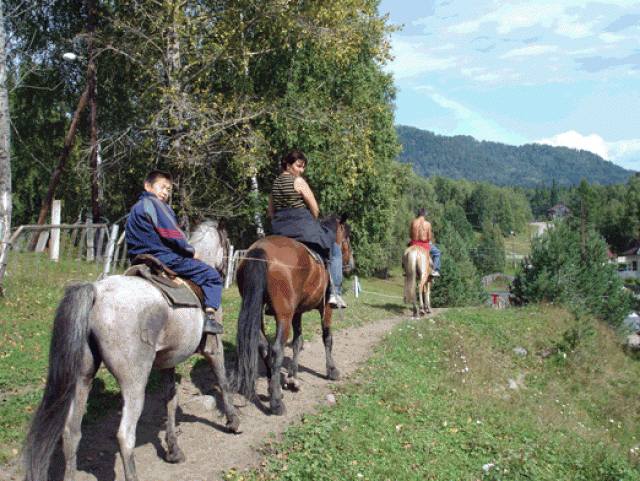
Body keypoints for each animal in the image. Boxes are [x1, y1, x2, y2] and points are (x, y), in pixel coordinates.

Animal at [22, 220, 239, 480]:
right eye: (226, 244)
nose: (226, 274)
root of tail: (96, 292)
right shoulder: (213, 349)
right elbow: (223, 382)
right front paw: (233, 421)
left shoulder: (169, 361)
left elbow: (170, 400)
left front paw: (173, 450)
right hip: (134, 382)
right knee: (125, 437)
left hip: (83, 378)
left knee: (71, 433)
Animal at [235, 213, 356, 412]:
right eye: (347, 237)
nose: (351, 264)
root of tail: (260, 250)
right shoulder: (325, 309)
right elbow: (327, 338)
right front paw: (331, 370)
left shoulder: (296, 313)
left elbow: (298, 341)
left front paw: (292, 376)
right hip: (283, 315)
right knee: (276, 349)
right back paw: (276, 401)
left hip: (259, 309)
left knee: (263, 346)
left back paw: (272, 388)